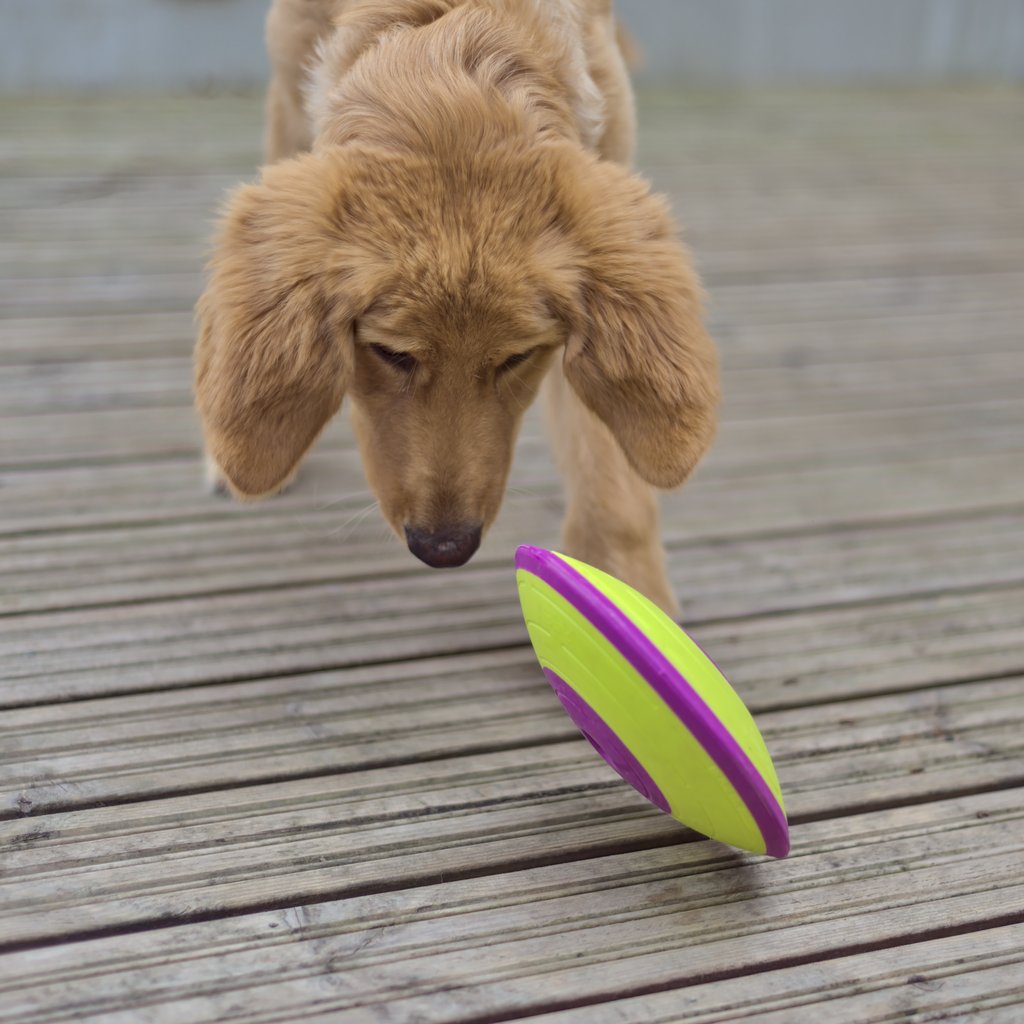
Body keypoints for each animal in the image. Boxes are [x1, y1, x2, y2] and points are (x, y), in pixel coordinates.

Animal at [193, 0, 720, 610]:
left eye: (517, 357)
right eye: (390, 353)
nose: (444, 549)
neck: (449, 25)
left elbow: (608, 461)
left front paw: (630, 594)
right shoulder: (290, 95)